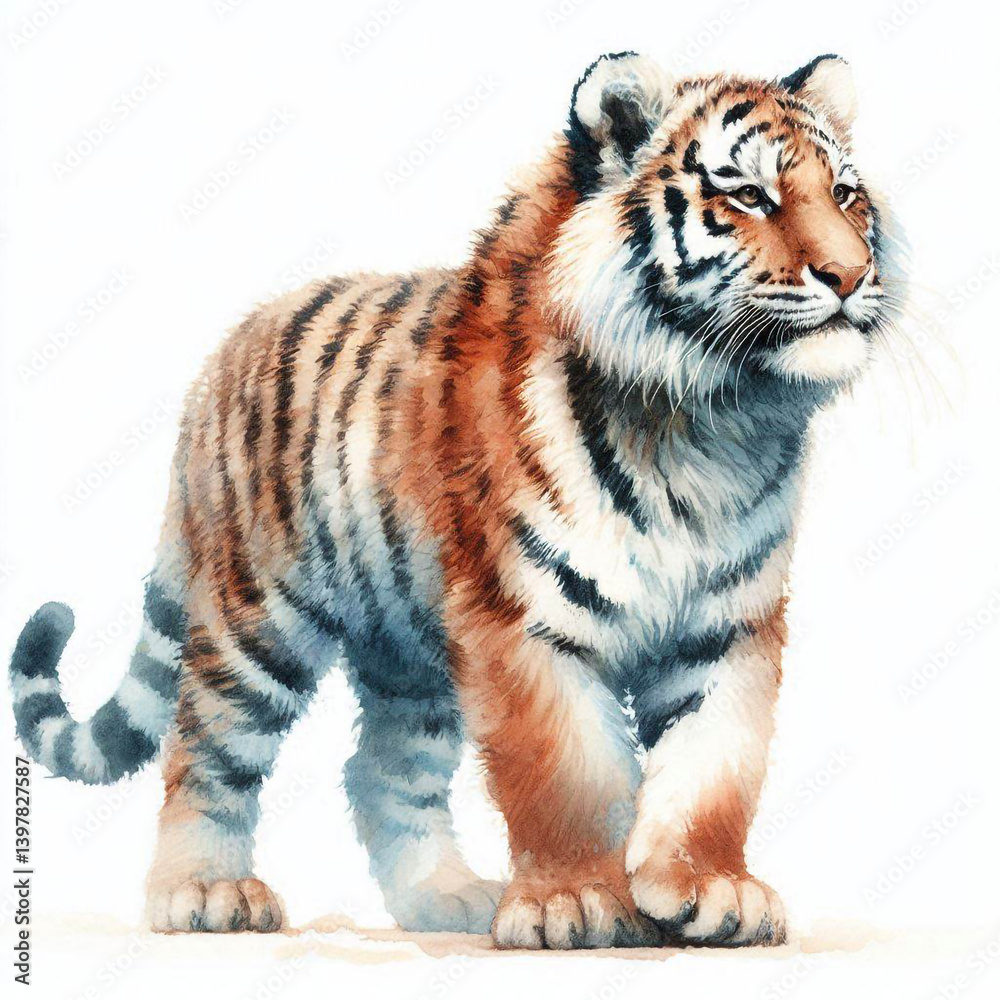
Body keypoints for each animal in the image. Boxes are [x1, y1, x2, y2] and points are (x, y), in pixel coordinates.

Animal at [10, 51, 901, 949]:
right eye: (749, 196)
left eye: (845, 194)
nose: (851, 275)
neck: (707, 421)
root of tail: (222, 357)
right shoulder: (526, 616)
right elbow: (567, 773)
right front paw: (576, 903)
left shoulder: (730, 624)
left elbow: (715, 767)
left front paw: (711, 891)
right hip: (256, 620)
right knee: (205, 749)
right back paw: (203, 891)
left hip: (410, 650)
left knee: (380, 768)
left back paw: (445, 897)